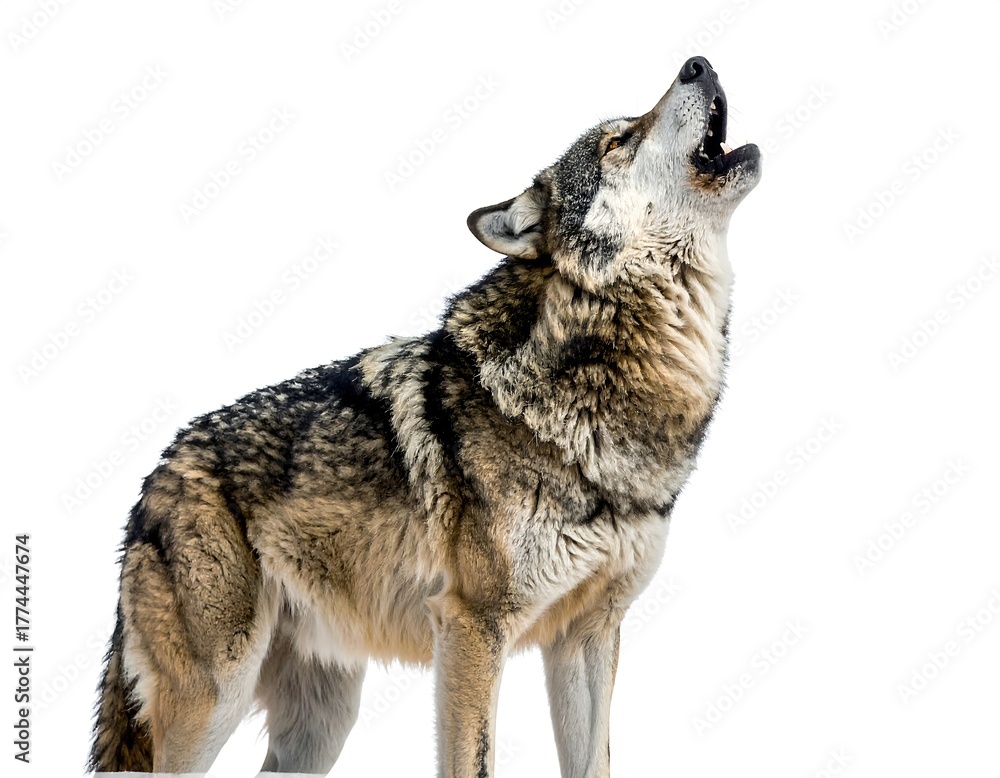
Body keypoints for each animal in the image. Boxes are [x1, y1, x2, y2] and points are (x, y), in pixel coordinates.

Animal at [89, 56, 760, 777]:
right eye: (618, 141)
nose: (698, 63)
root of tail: (155, 473)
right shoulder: (471, 627)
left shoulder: (588, 635)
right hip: (215, 698)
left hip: (320, 726)